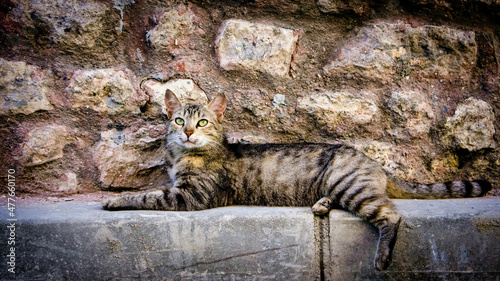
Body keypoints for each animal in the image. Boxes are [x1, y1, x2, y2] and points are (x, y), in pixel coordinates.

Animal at [102, 89, 492, 270]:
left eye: (202, 123)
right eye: (179, 120)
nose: (187, 134)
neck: (181, 156)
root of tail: (374, 162)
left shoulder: (189, 196)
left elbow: (146, 194)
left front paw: (114, 199)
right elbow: (150, 188)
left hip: (350, 186)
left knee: (391, 215)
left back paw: (382, 257)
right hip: (342, 186)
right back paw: (321, 205)